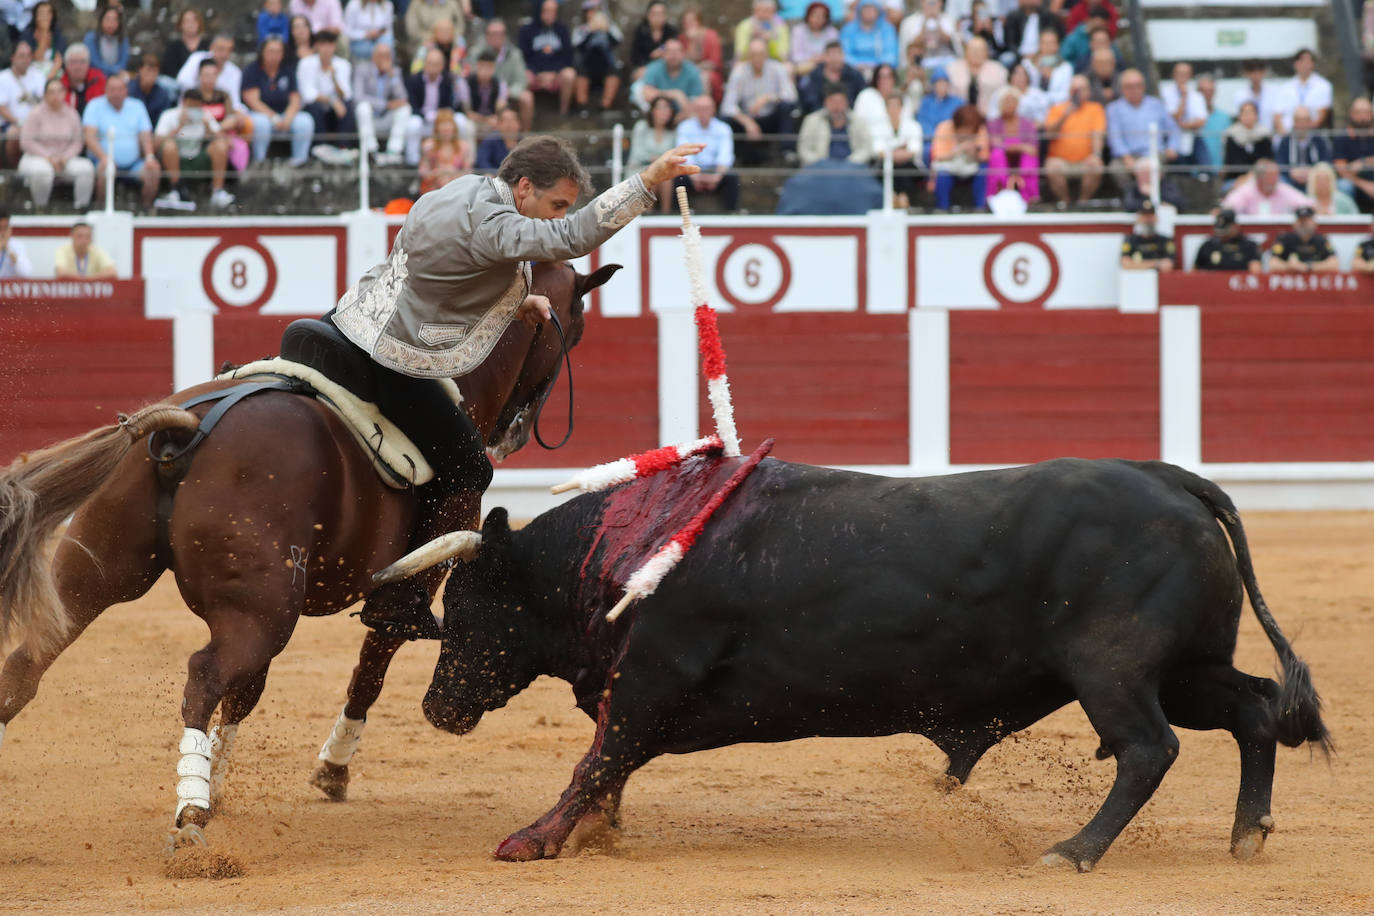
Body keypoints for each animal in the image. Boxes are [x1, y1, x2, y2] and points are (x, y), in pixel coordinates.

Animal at [0, 258, 618, 845]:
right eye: (575, 329)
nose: (516, 431)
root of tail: (184, 426)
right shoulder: (415, 581)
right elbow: (370, 668)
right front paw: (329, 769)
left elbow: (250, 694)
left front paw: (220, 783)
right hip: (258, 611)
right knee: (204, 674)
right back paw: (190, 817)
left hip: (96, 572)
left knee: (30, 662)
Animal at [423, 455, 1324, 873]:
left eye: (462, 610)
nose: (436, 708)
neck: (628, 551)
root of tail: (1166, 477)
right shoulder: (637, 694)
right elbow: (609, 767)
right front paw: (594, 836)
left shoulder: (649, 678)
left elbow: (595, 760)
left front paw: (532, 840)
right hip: (1187, 667)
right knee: (1253, 706)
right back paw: (1248, 834)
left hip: (1114, 671)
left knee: (1147, 749)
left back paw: (1072, 851)